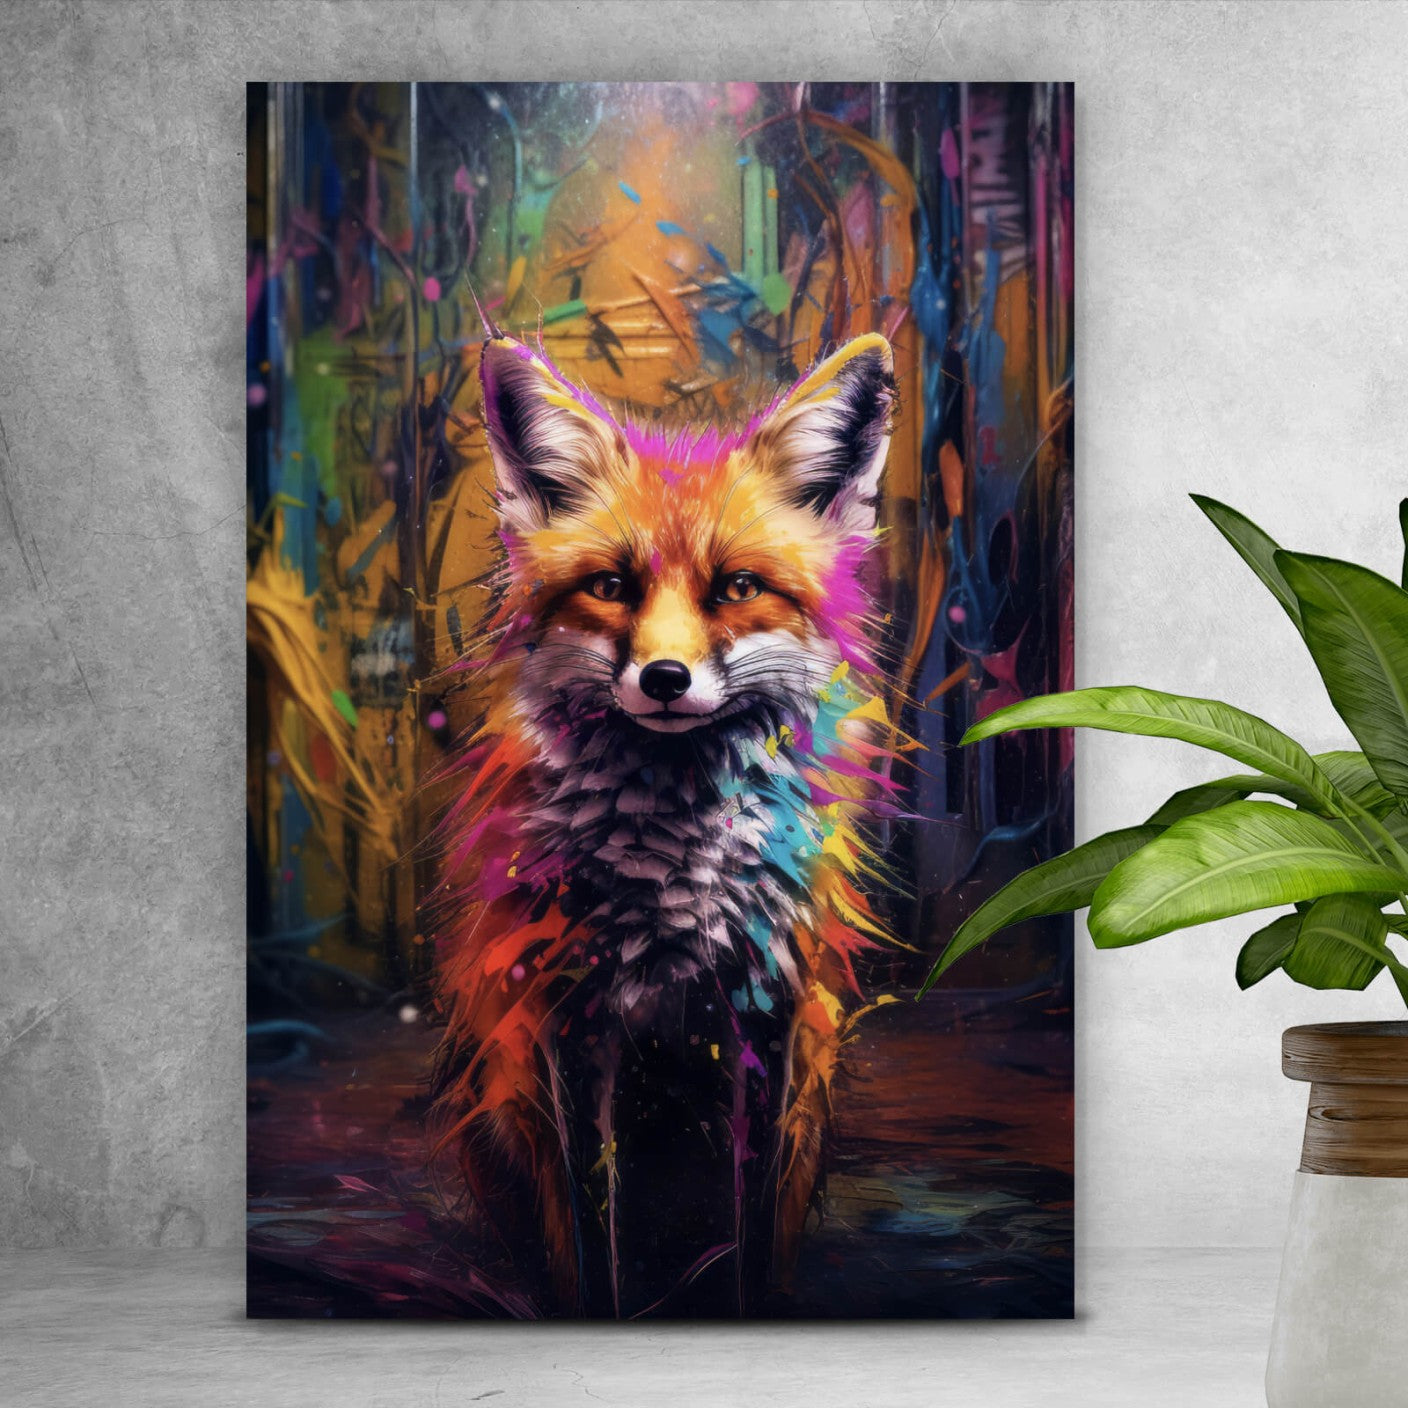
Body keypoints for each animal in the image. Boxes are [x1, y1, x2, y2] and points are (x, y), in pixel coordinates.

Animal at [428, 331, 902, 1318]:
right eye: (611, 586)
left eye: (738, 588)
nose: (665, 679)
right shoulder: (568, 1014)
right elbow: (592, 1229)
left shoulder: (767, 1013)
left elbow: (750, 1232)